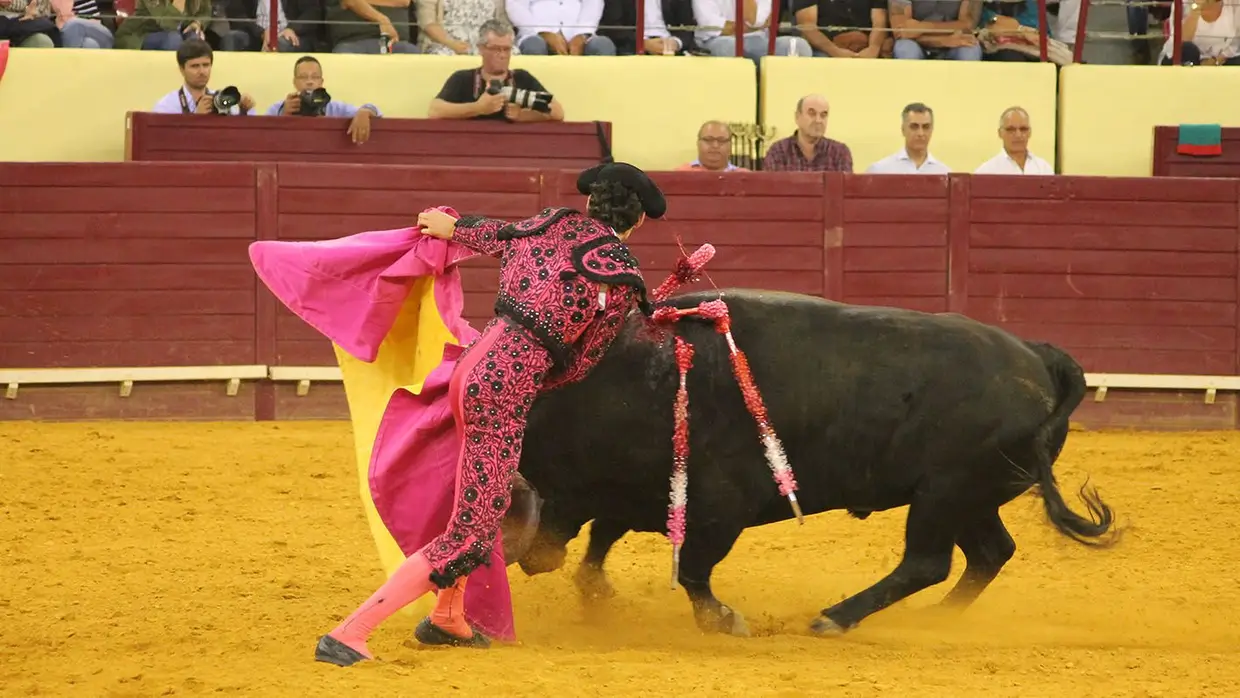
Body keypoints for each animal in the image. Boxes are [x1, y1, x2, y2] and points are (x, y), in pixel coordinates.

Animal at [498, 287, 1120, 639]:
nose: (530, 557)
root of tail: (1038, 358)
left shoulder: (717, 507)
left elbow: (693, 569)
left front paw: (722, 620)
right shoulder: (643, 495)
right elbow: (602, 542)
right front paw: (598, 597)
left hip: (945, 494)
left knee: (927, 562)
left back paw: (836, 618)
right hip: (969, 498)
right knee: (990, 553)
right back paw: (936, 620)